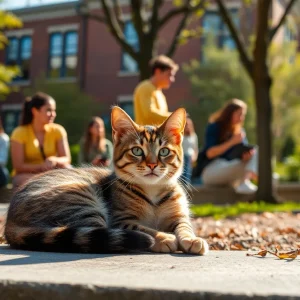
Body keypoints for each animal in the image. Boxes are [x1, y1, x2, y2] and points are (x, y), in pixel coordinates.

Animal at [5, 106, 209, 254]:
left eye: (164, 151)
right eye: (137, 151)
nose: (152, 164)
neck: (153, 192)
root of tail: (10, 223)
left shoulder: (179, 216)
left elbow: (185, 227)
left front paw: (191, 239)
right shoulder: (121, 220)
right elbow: (143, 228)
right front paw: (163, 237)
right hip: (82, 203)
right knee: (98, 237)